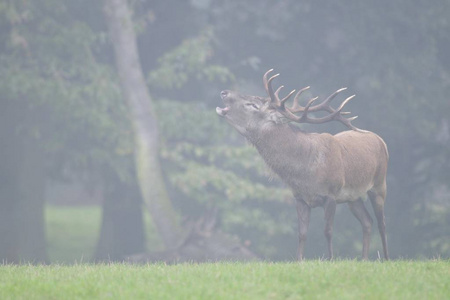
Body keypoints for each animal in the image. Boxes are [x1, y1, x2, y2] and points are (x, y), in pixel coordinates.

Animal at [216, 69, 388, 260]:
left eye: (253, 105)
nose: (224, 92)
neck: (304, 172)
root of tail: (380, 140)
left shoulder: (331, 194)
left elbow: (328, 231)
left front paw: (330, 259)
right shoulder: (300, 197)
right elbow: (302, 233)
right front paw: (300, 261)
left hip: (379, 184)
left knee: (381, 223)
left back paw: (386, 258)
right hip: (354, 197)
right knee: (367, 221)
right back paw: (364, 259)